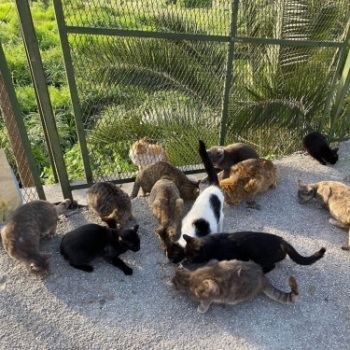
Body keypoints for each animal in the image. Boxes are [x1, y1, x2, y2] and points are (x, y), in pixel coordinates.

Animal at [167, 258, 298, 314]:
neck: (189, 279)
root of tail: (262, 276)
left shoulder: (209, 291)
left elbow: (206, 299)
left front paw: (201, 309)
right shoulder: (212, 261)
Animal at [183, 230, 326, 274]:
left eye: (191, 256)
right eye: (186, 254)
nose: (187, 261)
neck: (214, 243)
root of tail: (281, 240)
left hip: (260, 258)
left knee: (271, 266)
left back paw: (262, 271)